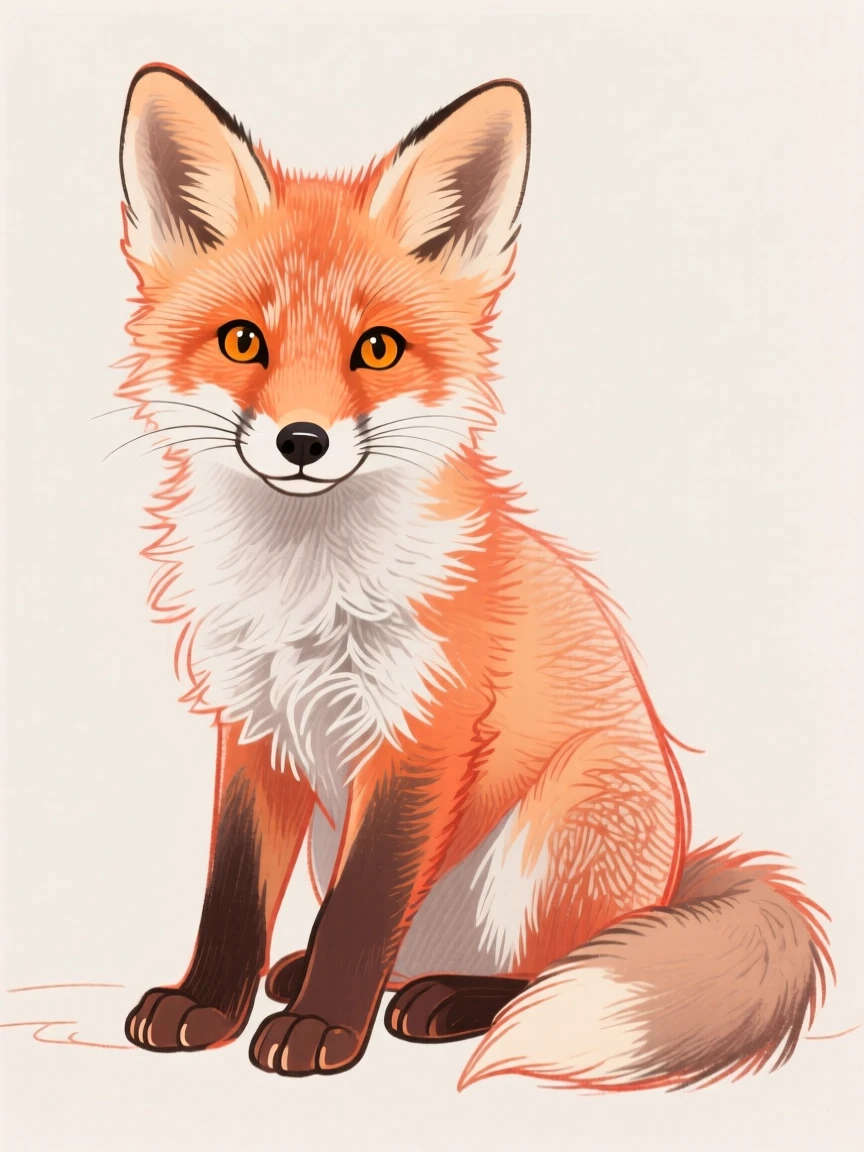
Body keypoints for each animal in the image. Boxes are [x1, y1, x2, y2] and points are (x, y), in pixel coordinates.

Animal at [114, 63, 832, 1089]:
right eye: (243, 340)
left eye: (376, 347)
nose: (303, 442)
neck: (307, 582)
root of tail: (675, 880)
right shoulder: (253, 729)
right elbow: (234, 895)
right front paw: (208, 1006)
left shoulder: (424, 729)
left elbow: (365, 907)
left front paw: (323, 1030)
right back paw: (315, 975)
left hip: (557, 834)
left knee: (550, 966)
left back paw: (441, 1001)